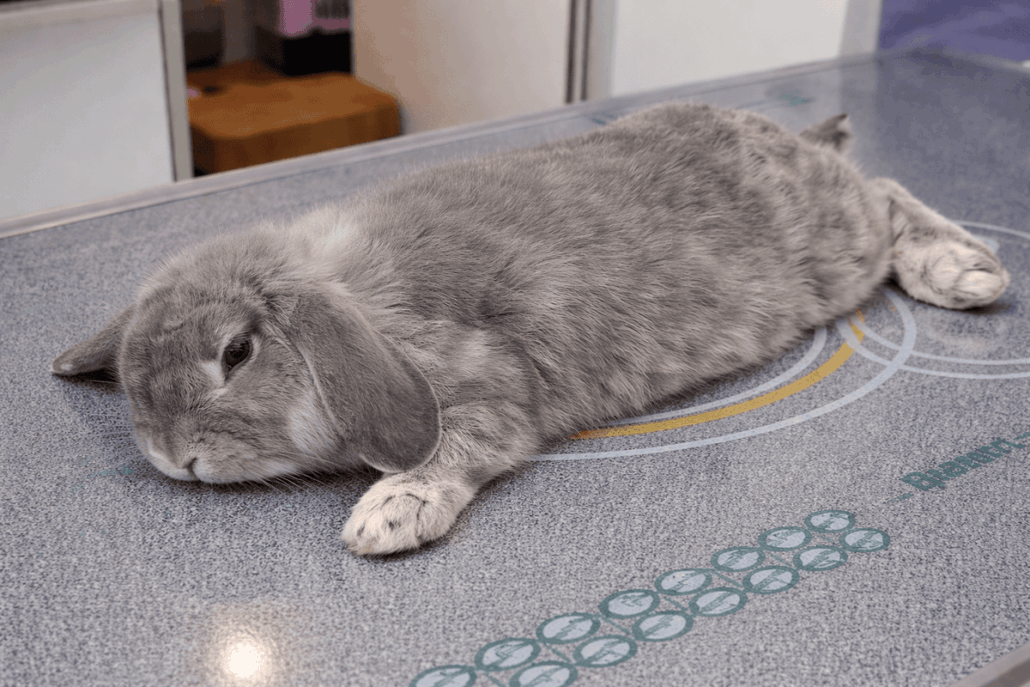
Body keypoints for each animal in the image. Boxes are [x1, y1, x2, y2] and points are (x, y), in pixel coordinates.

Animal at [51, 102, 1010, 555]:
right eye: (134, 378)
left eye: (237, 352)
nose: (175, 457)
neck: (352, 296)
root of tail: (792, 136)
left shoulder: (488, 383)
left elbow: (453, 447)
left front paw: (387, 515)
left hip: (841, 241)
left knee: (885, 188)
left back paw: (964, 270)